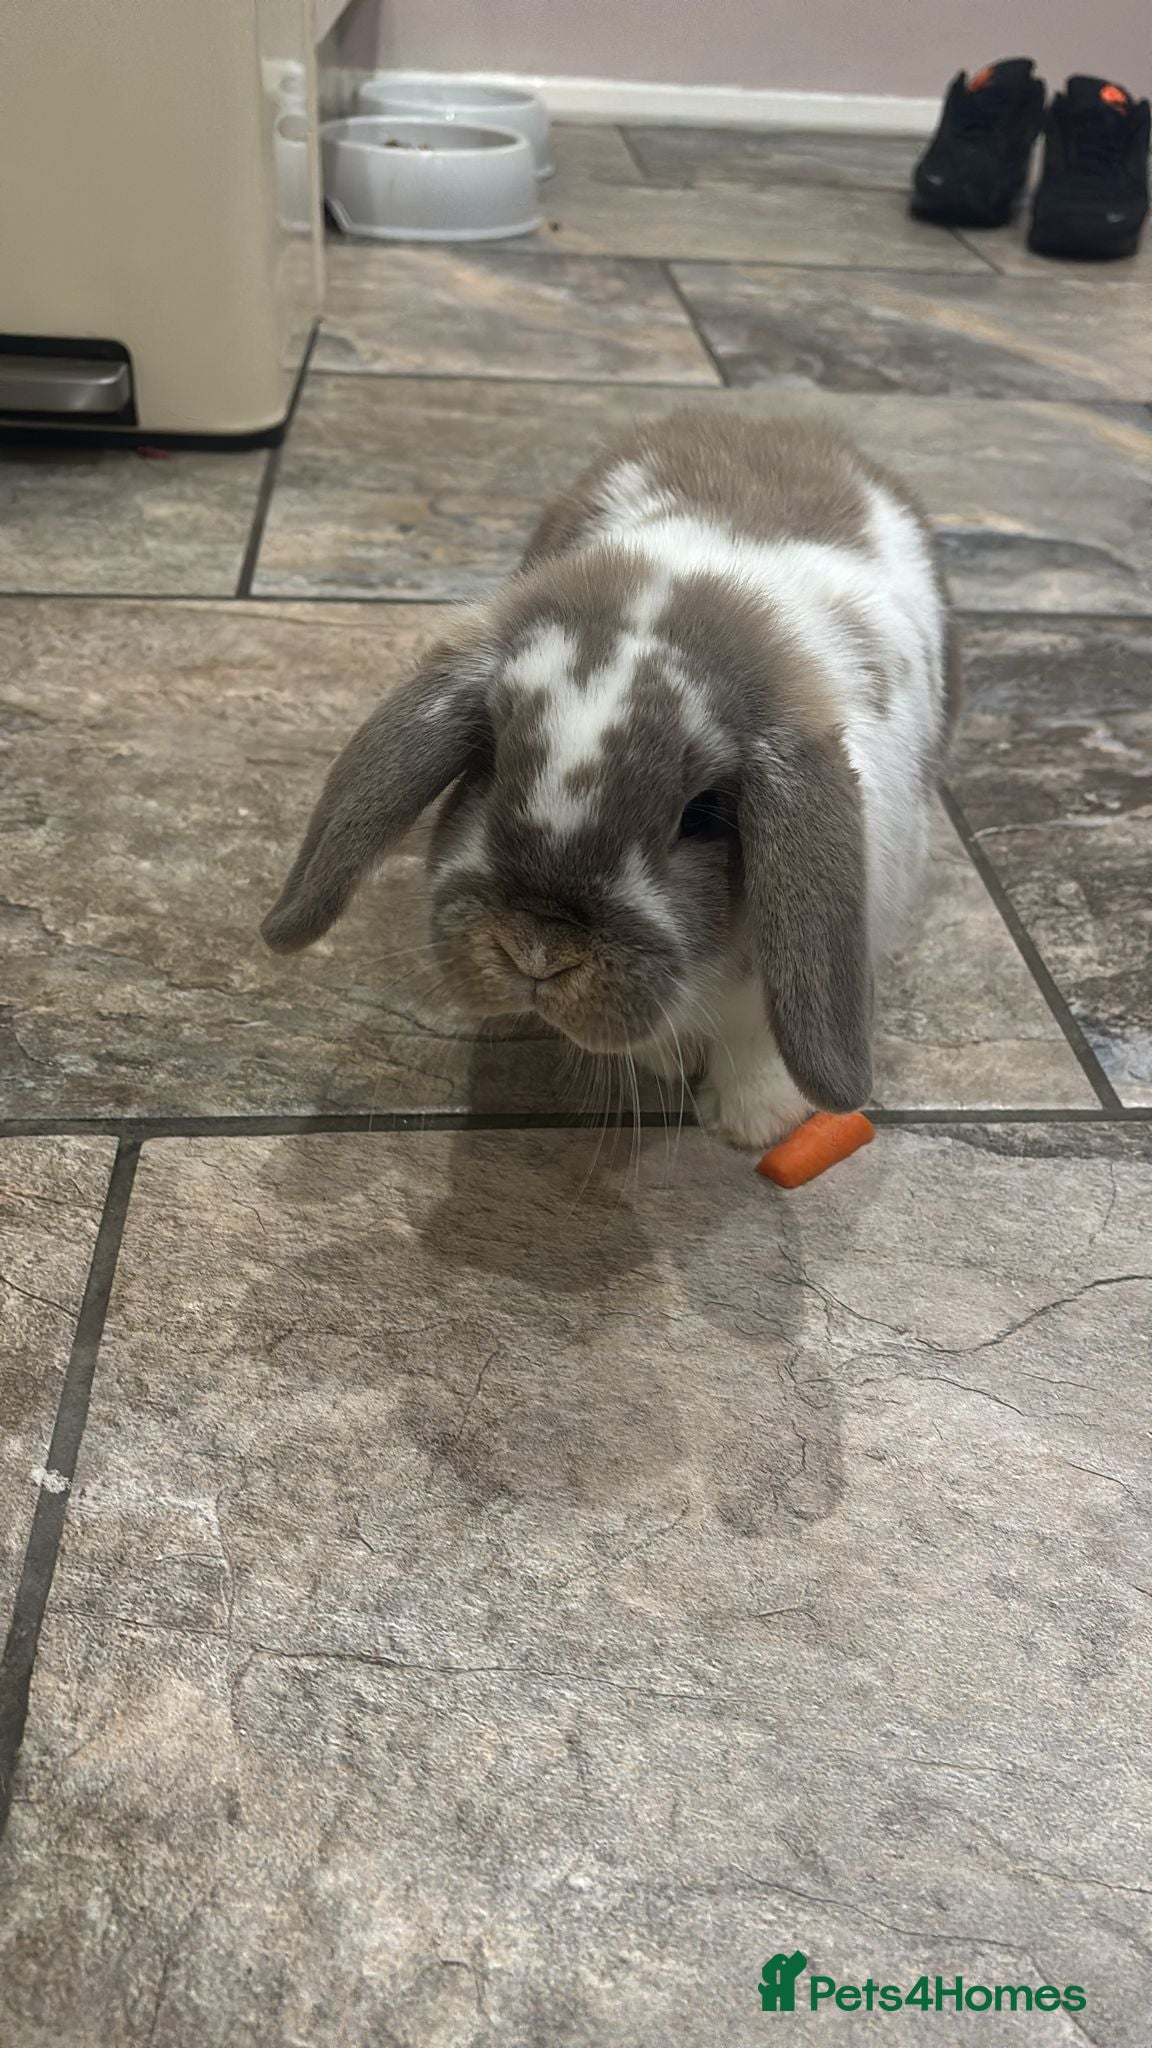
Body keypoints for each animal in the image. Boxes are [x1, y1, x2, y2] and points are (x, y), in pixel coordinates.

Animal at [262, 410, 958, 1150]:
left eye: (701, 815)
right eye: (490, 763)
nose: (538, 955)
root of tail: (773, 424)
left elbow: (763, 1044)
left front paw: (751, 1124)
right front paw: (665, 1064)